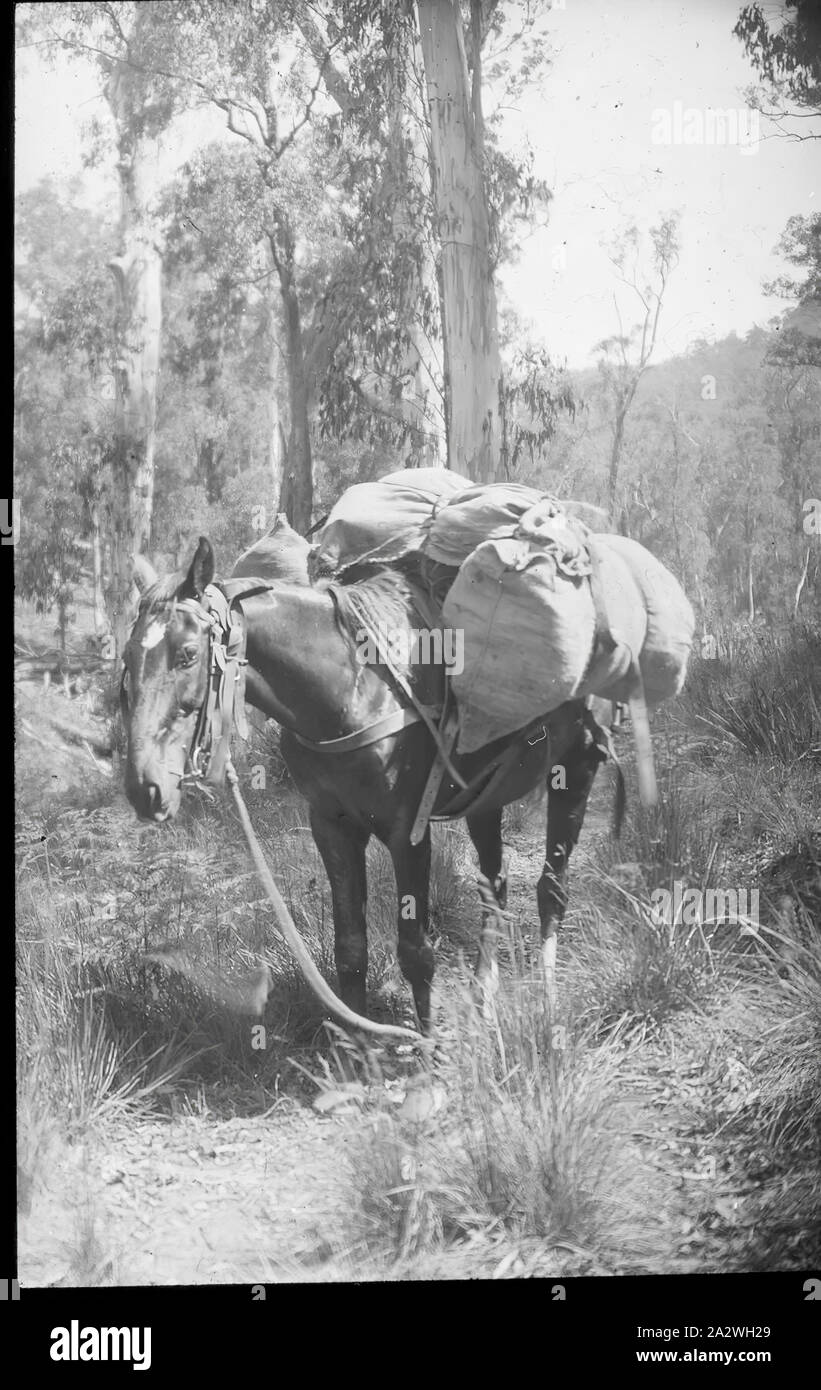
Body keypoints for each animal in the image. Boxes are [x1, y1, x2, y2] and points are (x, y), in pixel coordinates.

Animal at [121, 536, 617, 1034]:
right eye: (127, 659)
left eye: (187, 654)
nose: (144, 787)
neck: (350, 689)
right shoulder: (332, 826)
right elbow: (350, 948)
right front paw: (358, 1045)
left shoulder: (407, 832)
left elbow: (415, 952)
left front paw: (428, 1043)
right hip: (485, 797)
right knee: (494, 884)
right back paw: (483, 999)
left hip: (577, 768)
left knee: (552, 889)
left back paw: (548, 1001)